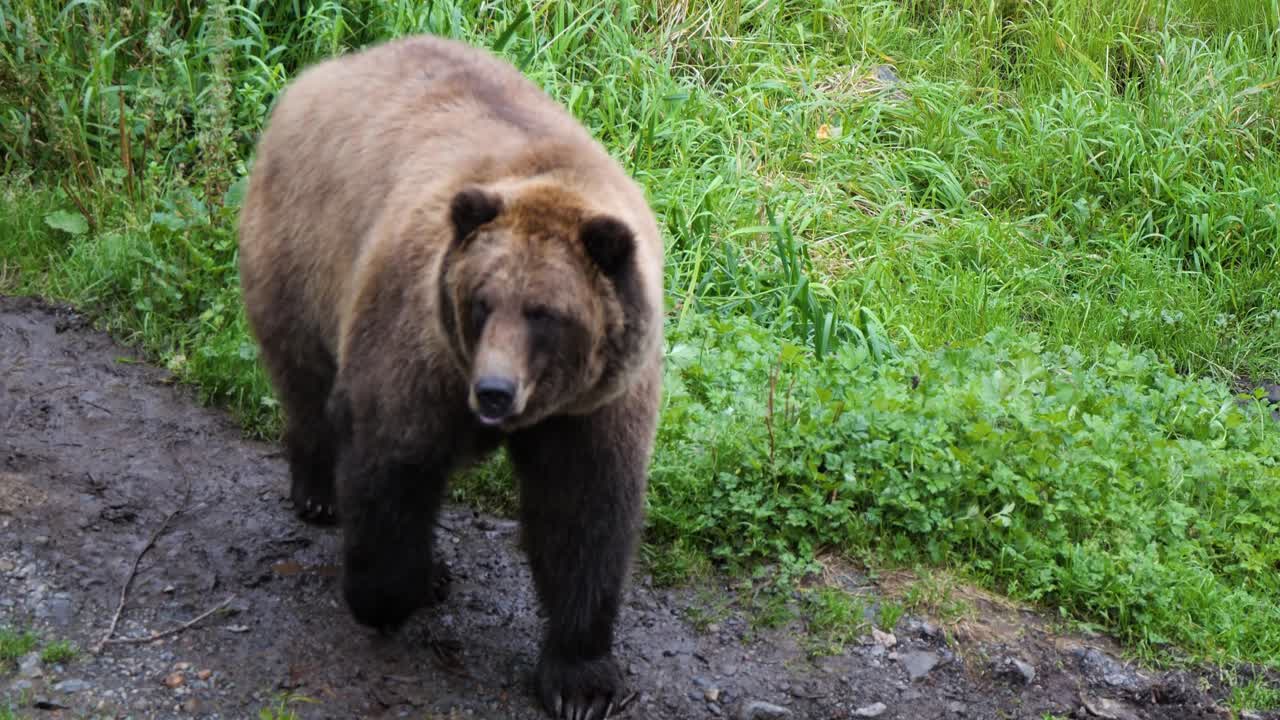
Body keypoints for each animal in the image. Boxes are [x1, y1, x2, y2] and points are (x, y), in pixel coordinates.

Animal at [236, 34, 664, 720]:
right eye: (483, 301)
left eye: (545, 313)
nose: (494, 391)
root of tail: (323, 72)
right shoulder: (420, 351)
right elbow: (391, 462)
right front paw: (392, 593)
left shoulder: (597, 404)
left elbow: (583, 514)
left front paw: (581, 681)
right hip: (303, 251)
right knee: (304, 379)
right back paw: (320, 492)